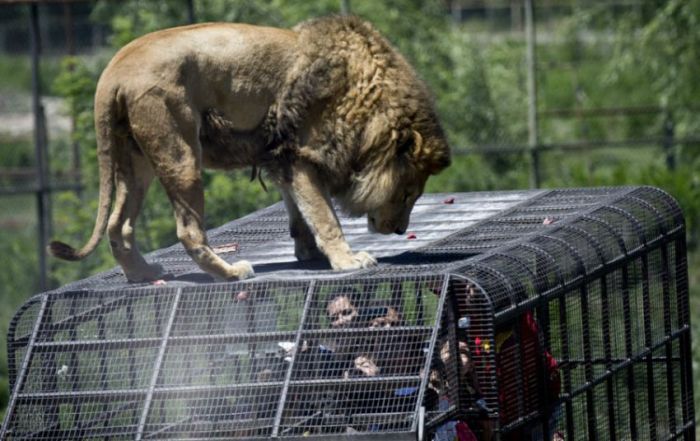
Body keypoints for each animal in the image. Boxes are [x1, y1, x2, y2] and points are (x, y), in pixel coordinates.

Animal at [50, 16, 454, 282]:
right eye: (407, 194)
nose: (400, 231)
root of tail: (113, 71)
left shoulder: (281, 158)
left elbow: (299, 212)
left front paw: (308, 252)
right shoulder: (301, 156)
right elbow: (325, 216)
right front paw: (347, 260)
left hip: (137, 161)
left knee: (118, 226)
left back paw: (144, 274)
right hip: (180, 151)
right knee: (187, 230)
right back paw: (231, 272)